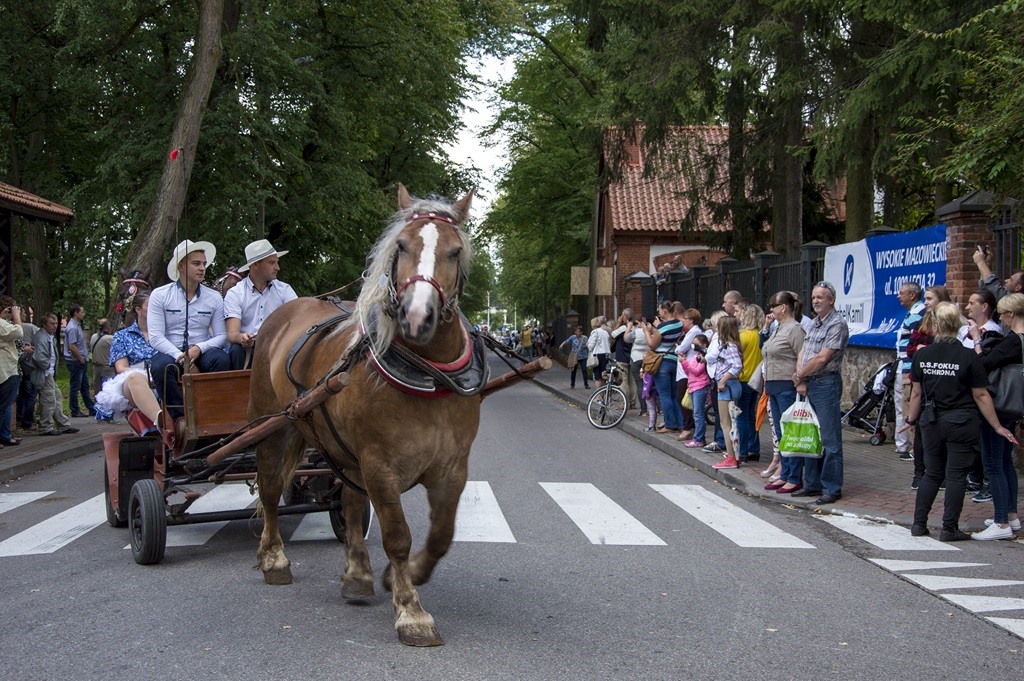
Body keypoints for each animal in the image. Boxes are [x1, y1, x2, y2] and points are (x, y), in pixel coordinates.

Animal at [249, 184, 479, 647]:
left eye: (454, 251)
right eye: (402, 245)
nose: (416, 315)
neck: (429, 375)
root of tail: (287, 310)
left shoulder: (453, 467)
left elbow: (442, 535)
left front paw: (399, 577)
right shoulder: (380, 465)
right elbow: (398, 535)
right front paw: (411, 612)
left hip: (341, 449)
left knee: (350, 501)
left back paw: (357, 574)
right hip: (275, 429)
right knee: (269, 491)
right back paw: (274, 558)